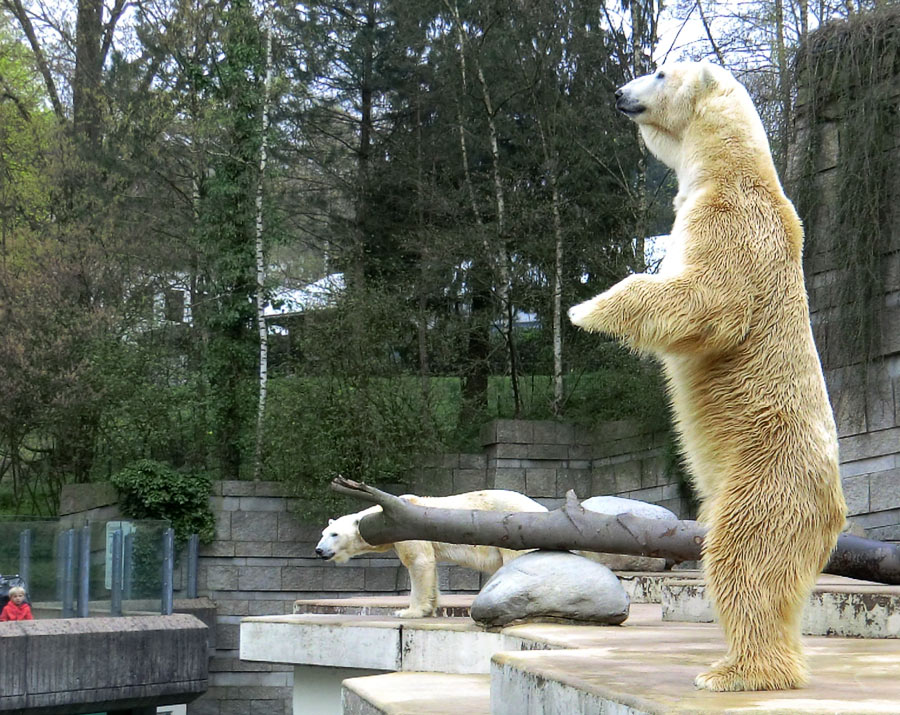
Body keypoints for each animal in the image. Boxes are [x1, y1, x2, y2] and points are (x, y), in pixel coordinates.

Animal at [312, 490, 544, 620]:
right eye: (323, 533)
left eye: (334, 534)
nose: (319, 550)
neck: (382, 517)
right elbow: (430, 567)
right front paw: (429, 609)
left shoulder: (406, 528)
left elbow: (418, 562)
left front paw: (408, 612)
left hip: (515, 530)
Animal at [568, 63, 844, 692]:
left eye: (659, 71)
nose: (620, 93)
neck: (731, 166)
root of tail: (836, 509)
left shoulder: (735, 220)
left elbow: (709, 301)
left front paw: (585, 309)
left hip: (767, 476)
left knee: (746, 557)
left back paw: (736, 672)